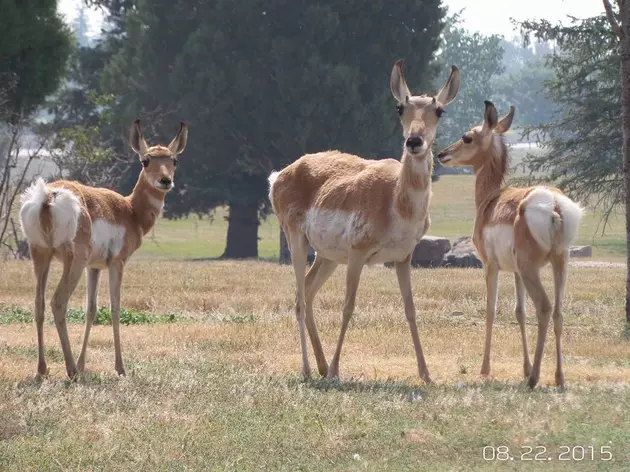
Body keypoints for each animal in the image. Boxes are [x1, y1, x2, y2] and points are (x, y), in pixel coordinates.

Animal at [18, 120, 188, 378]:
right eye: (145, 160)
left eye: (174, 160)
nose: (165, 181)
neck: (129, 210)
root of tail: (48, 196)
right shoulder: (117, 263)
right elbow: (115, 308)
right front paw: (120, 368)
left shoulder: (95, 267)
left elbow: (92, 309)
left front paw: (83, 364)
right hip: (73, 262)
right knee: (58, 302)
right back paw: (70, 370)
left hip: (41, 256)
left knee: (39, 304)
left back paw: (43, 369)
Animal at [270, 60, 462, 384]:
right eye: (400, 107)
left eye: (438, 110)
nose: (414, 141)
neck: (397, 200)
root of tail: (282, 174)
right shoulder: (358, 254)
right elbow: (348, 306)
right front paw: (337, 370)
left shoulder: (403, 257)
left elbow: (410, 308)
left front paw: (426, 374)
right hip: (297, 241)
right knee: (299, 298)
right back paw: (310, 370)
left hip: (327, 256)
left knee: (307, 293)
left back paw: (321, 367)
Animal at [436, 102, 584, 388]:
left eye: (467, 136)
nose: (441, 154)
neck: (491, 200)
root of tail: (554, 204)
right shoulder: (515, 272)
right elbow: (519, 312)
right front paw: (524, 368)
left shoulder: (490, 266)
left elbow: (491, 310)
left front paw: (485, 368)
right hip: (560, 263)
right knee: (558, 312)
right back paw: (559, 378)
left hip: (532, 269)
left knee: (545, 308)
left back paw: (535, 378)